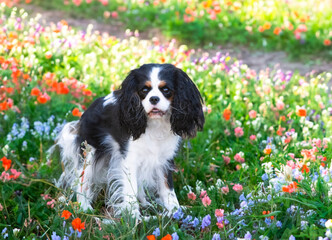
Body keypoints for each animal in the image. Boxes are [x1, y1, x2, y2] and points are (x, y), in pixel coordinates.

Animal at [54, 63, 204, 218]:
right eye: (144, 90)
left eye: (166, 90)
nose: (154, 99)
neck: (155, 125)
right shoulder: (129, 160)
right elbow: (130, 190)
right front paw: (134, 217)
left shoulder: (164, 160)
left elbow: (167, 189)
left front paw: (175, 212)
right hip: (90, 153)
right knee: (82, 181)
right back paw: (84, 208)